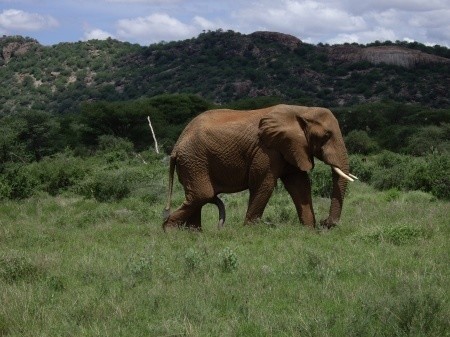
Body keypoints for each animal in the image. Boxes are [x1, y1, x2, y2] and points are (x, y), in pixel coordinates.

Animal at [162, 105, 356, 230]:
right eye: (326, 136)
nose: (326, 223)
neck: (302, 110)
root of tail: (176, 146)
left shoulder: (291, 147)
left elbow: (300, 185)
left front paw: (308, 230)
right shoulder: (267, 151)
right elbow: (264, 184)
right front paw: (250, 231)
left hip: (192, 162)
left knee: (197, 196)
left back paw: (194, 234)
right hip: (194, 160)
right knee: (202, 194)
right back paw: (170, 231)